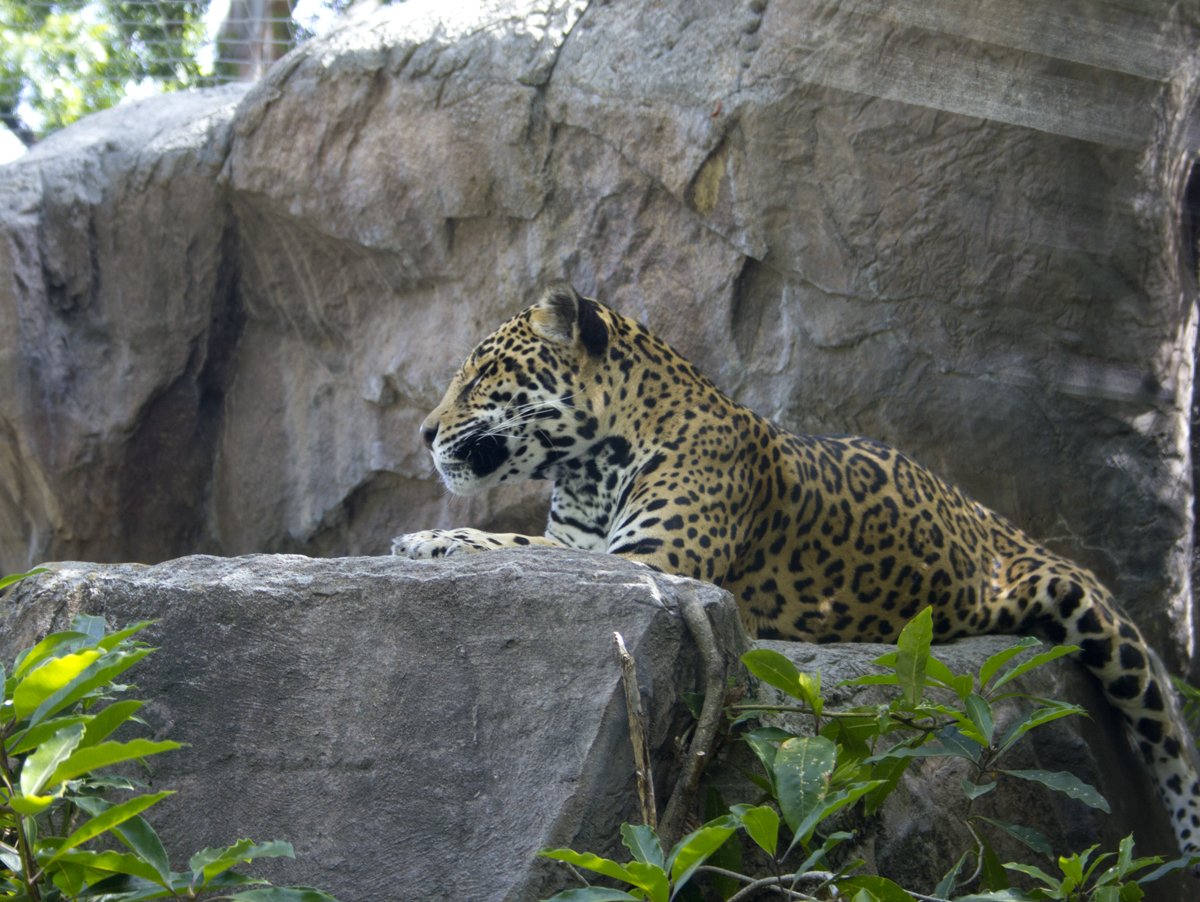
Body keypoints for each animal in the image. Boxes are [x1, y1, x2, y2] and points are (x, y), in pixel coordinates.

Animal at [392, 282, 1200, 859]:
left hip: (1095, 617)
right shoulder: (602, 549)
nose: (424, 432)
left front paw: (430, 539)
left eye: (484, 373)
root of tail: (997, 518)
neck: (587, 467)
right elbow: (538, 545)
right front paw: (432, 538)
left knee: (1169, 738)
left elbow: (520, 547)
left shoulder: (653, 564)